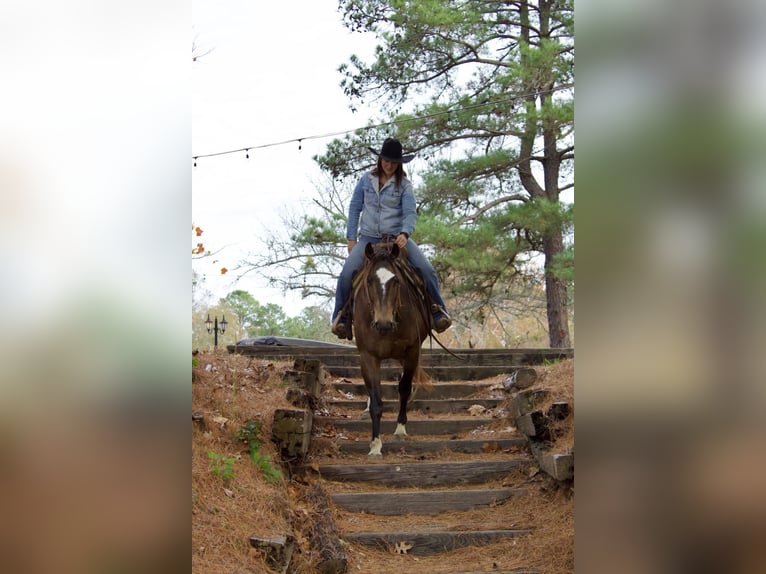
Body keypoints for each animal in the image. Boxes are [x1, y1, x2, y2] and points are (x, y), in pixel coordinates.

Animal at [354, 243, 432, 460]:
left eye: (396, 280)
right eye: (369, 280)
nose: (384, 324)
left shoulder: (412, 352)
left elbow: (404, 389)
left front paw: (400, 430)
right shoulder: (368, 357)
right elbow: (376, 401)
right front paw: (375, 445)